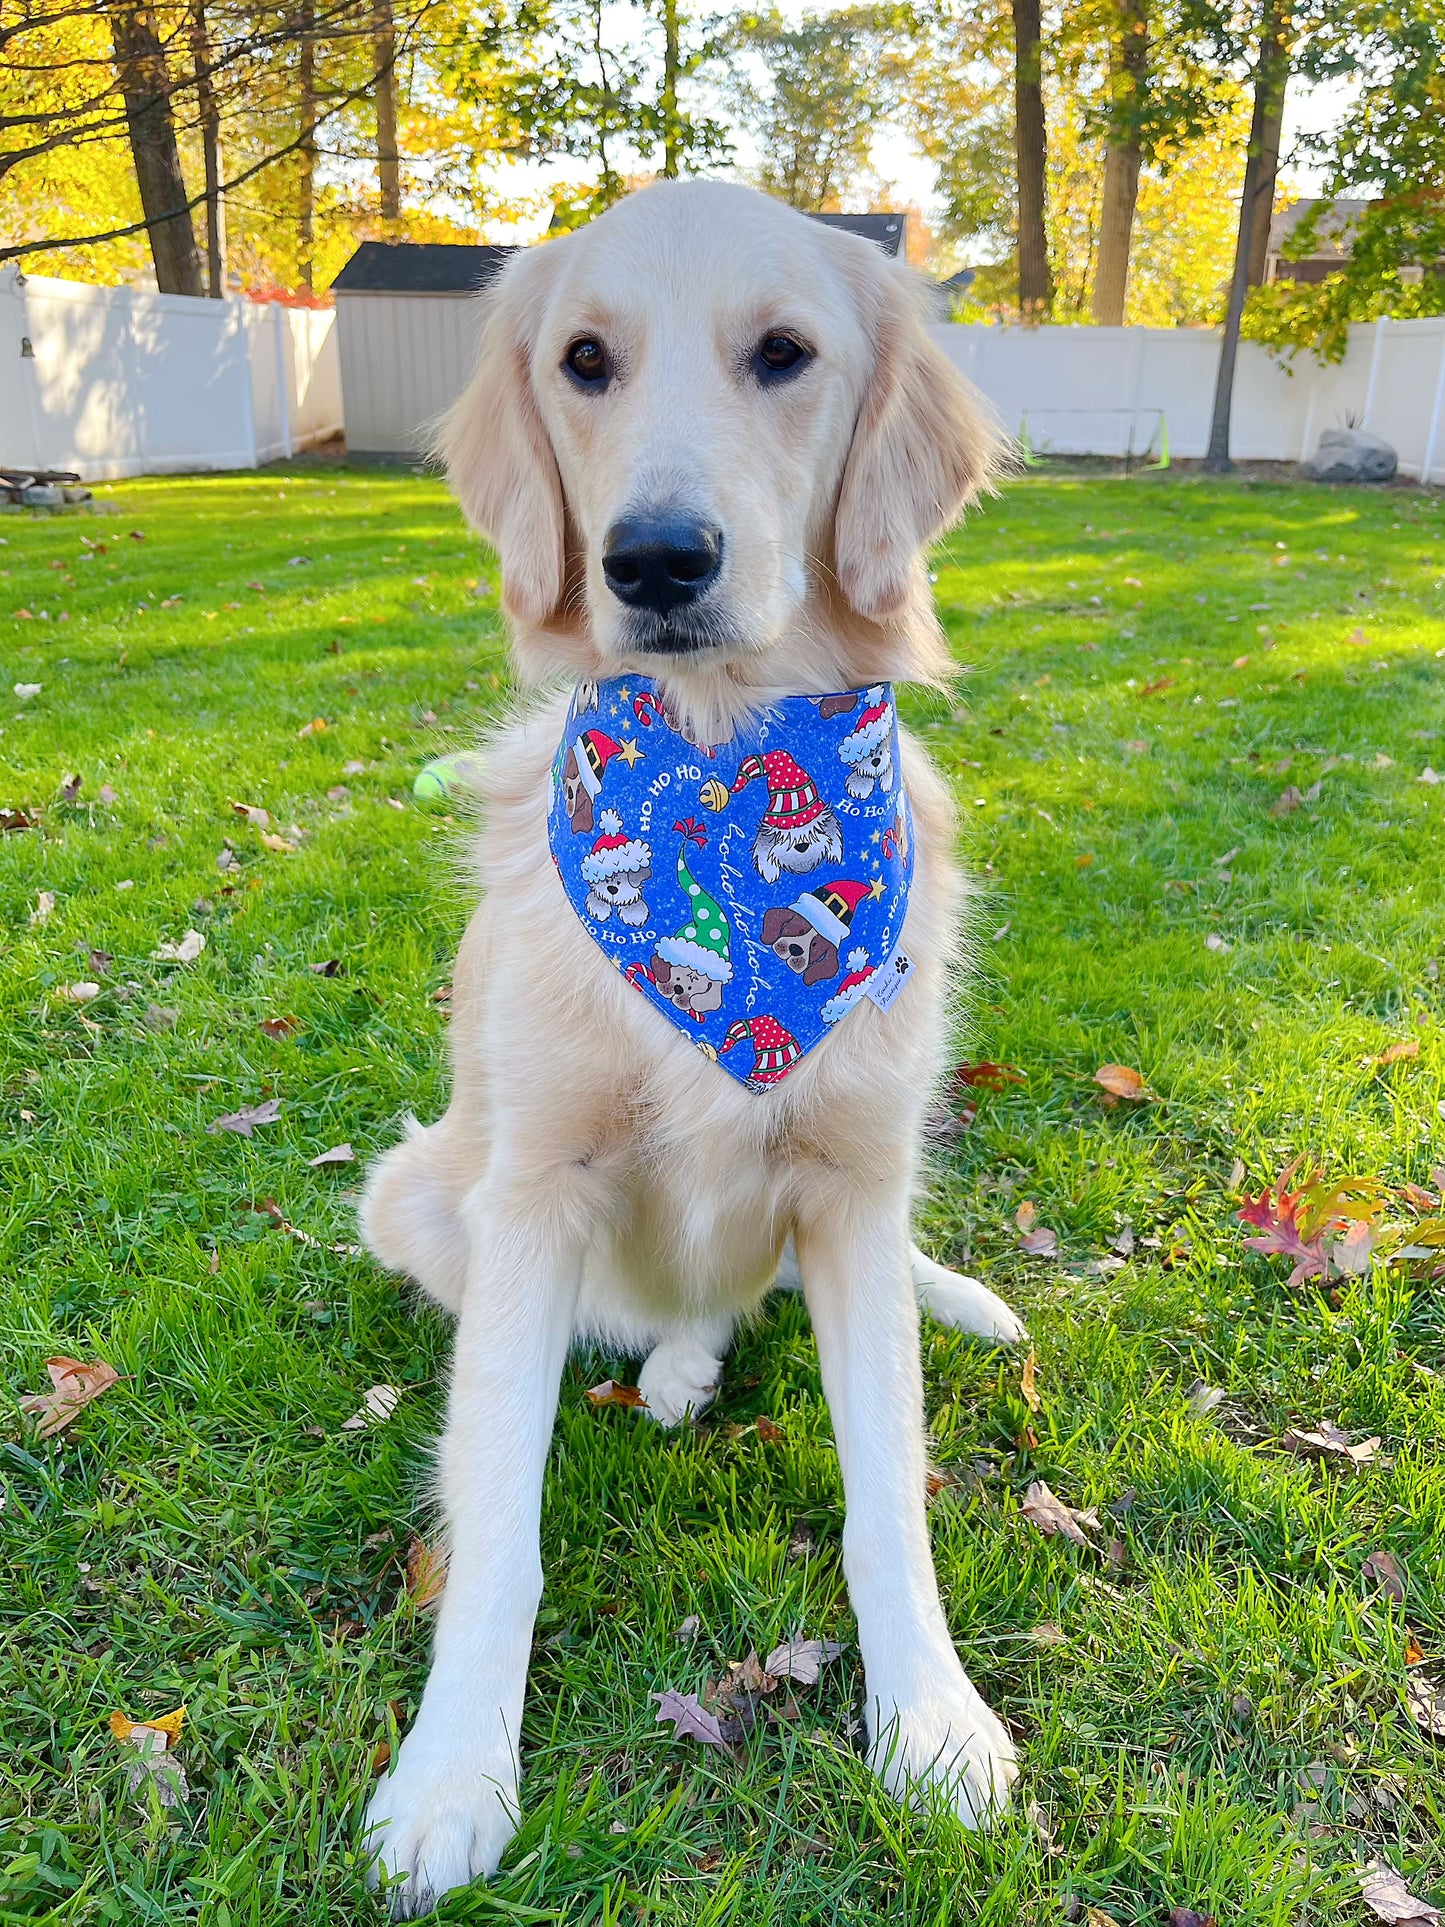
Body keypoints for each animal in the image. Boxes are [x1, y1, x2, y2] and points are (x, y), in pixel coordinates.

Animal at [356, 177, 1024, 1911]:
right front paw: (451, 1776)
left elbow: (888, 1500)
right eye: (584, 361)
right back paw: (665, 1364)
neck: (718, 790)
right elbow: (496, 1521)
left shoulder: (854, 1184)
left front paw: (932, 1717)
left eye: (783, 353)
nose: (654, 559)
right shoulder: (530, 1195)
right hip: (415, 1188)